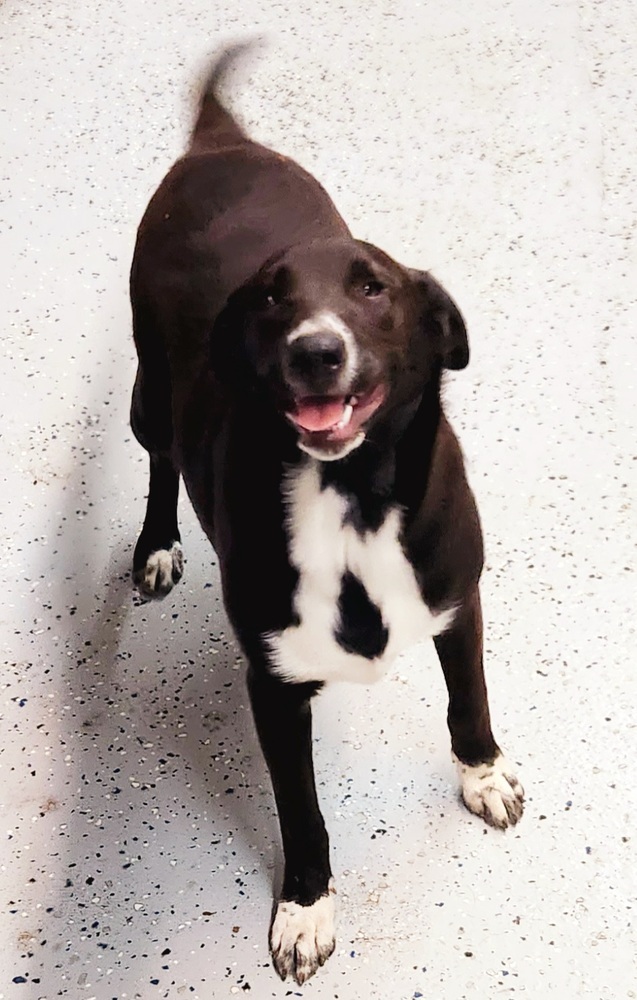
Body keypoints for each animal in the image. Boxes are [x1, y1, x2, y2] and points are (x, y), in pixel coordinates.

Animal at [129, 45, 520, 984]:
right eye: (270, 299)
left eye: (372, 288)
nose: (315, 350)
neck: (352, 500)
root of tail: (220, 142)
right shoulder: (272, 686)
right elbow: (300, 812)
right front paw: (304, 909)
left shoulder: (458, 602)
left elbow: (469, 702)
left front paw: (483, 775)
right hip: (148, 391)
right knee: (160, 462)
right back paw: (157, 543)